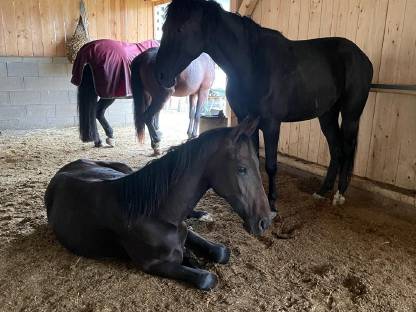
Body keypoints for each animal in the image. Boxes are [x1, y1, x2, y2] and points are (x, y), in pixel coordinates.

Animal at [154, 0, 374, 213]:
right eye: (164, 27)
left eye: (182, 28)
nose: (161, 75)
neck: (253, 64)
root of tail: (361, 56)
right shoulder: (248, 121)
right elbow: (255, 161)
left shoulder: (271, 124)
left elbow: (271, 165)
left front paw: (272, 203)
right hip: (327, 114)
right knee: (336, 150)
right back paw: (322, 192)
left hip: (351, 115)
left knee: (347, 149)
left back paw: (339, 195)